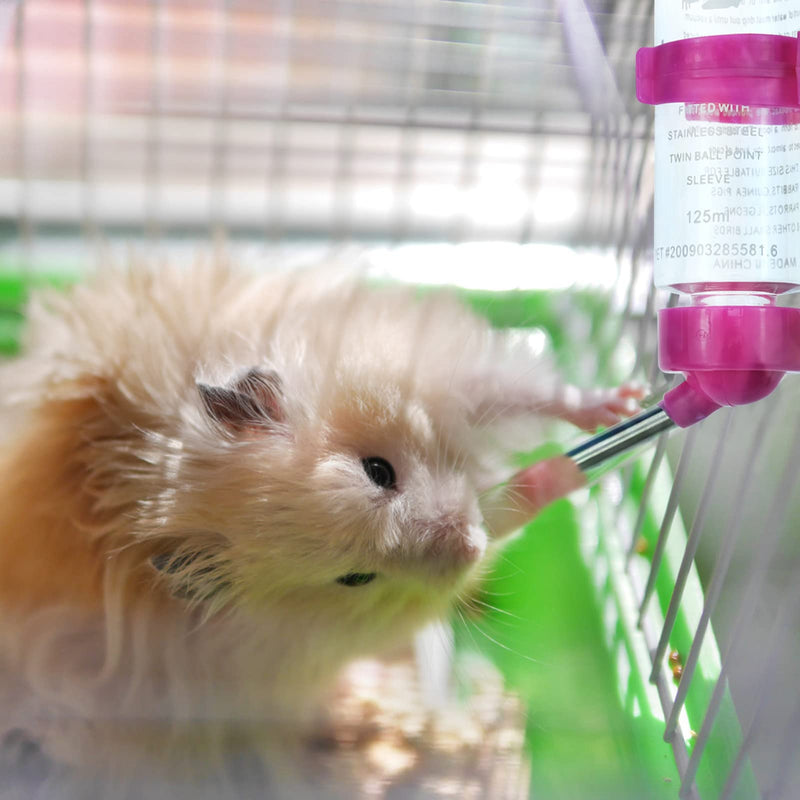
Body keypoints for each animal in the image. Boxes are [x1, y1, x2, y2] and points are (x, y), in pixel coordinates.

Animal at [0, 261, 638, 777]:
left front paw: (618, 405)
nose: (467, 548)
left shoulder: (437, 371)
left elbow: (520, 391)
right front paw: (569, 470)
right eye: (354, 578)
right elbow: (511, 508)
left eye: (378, 470)